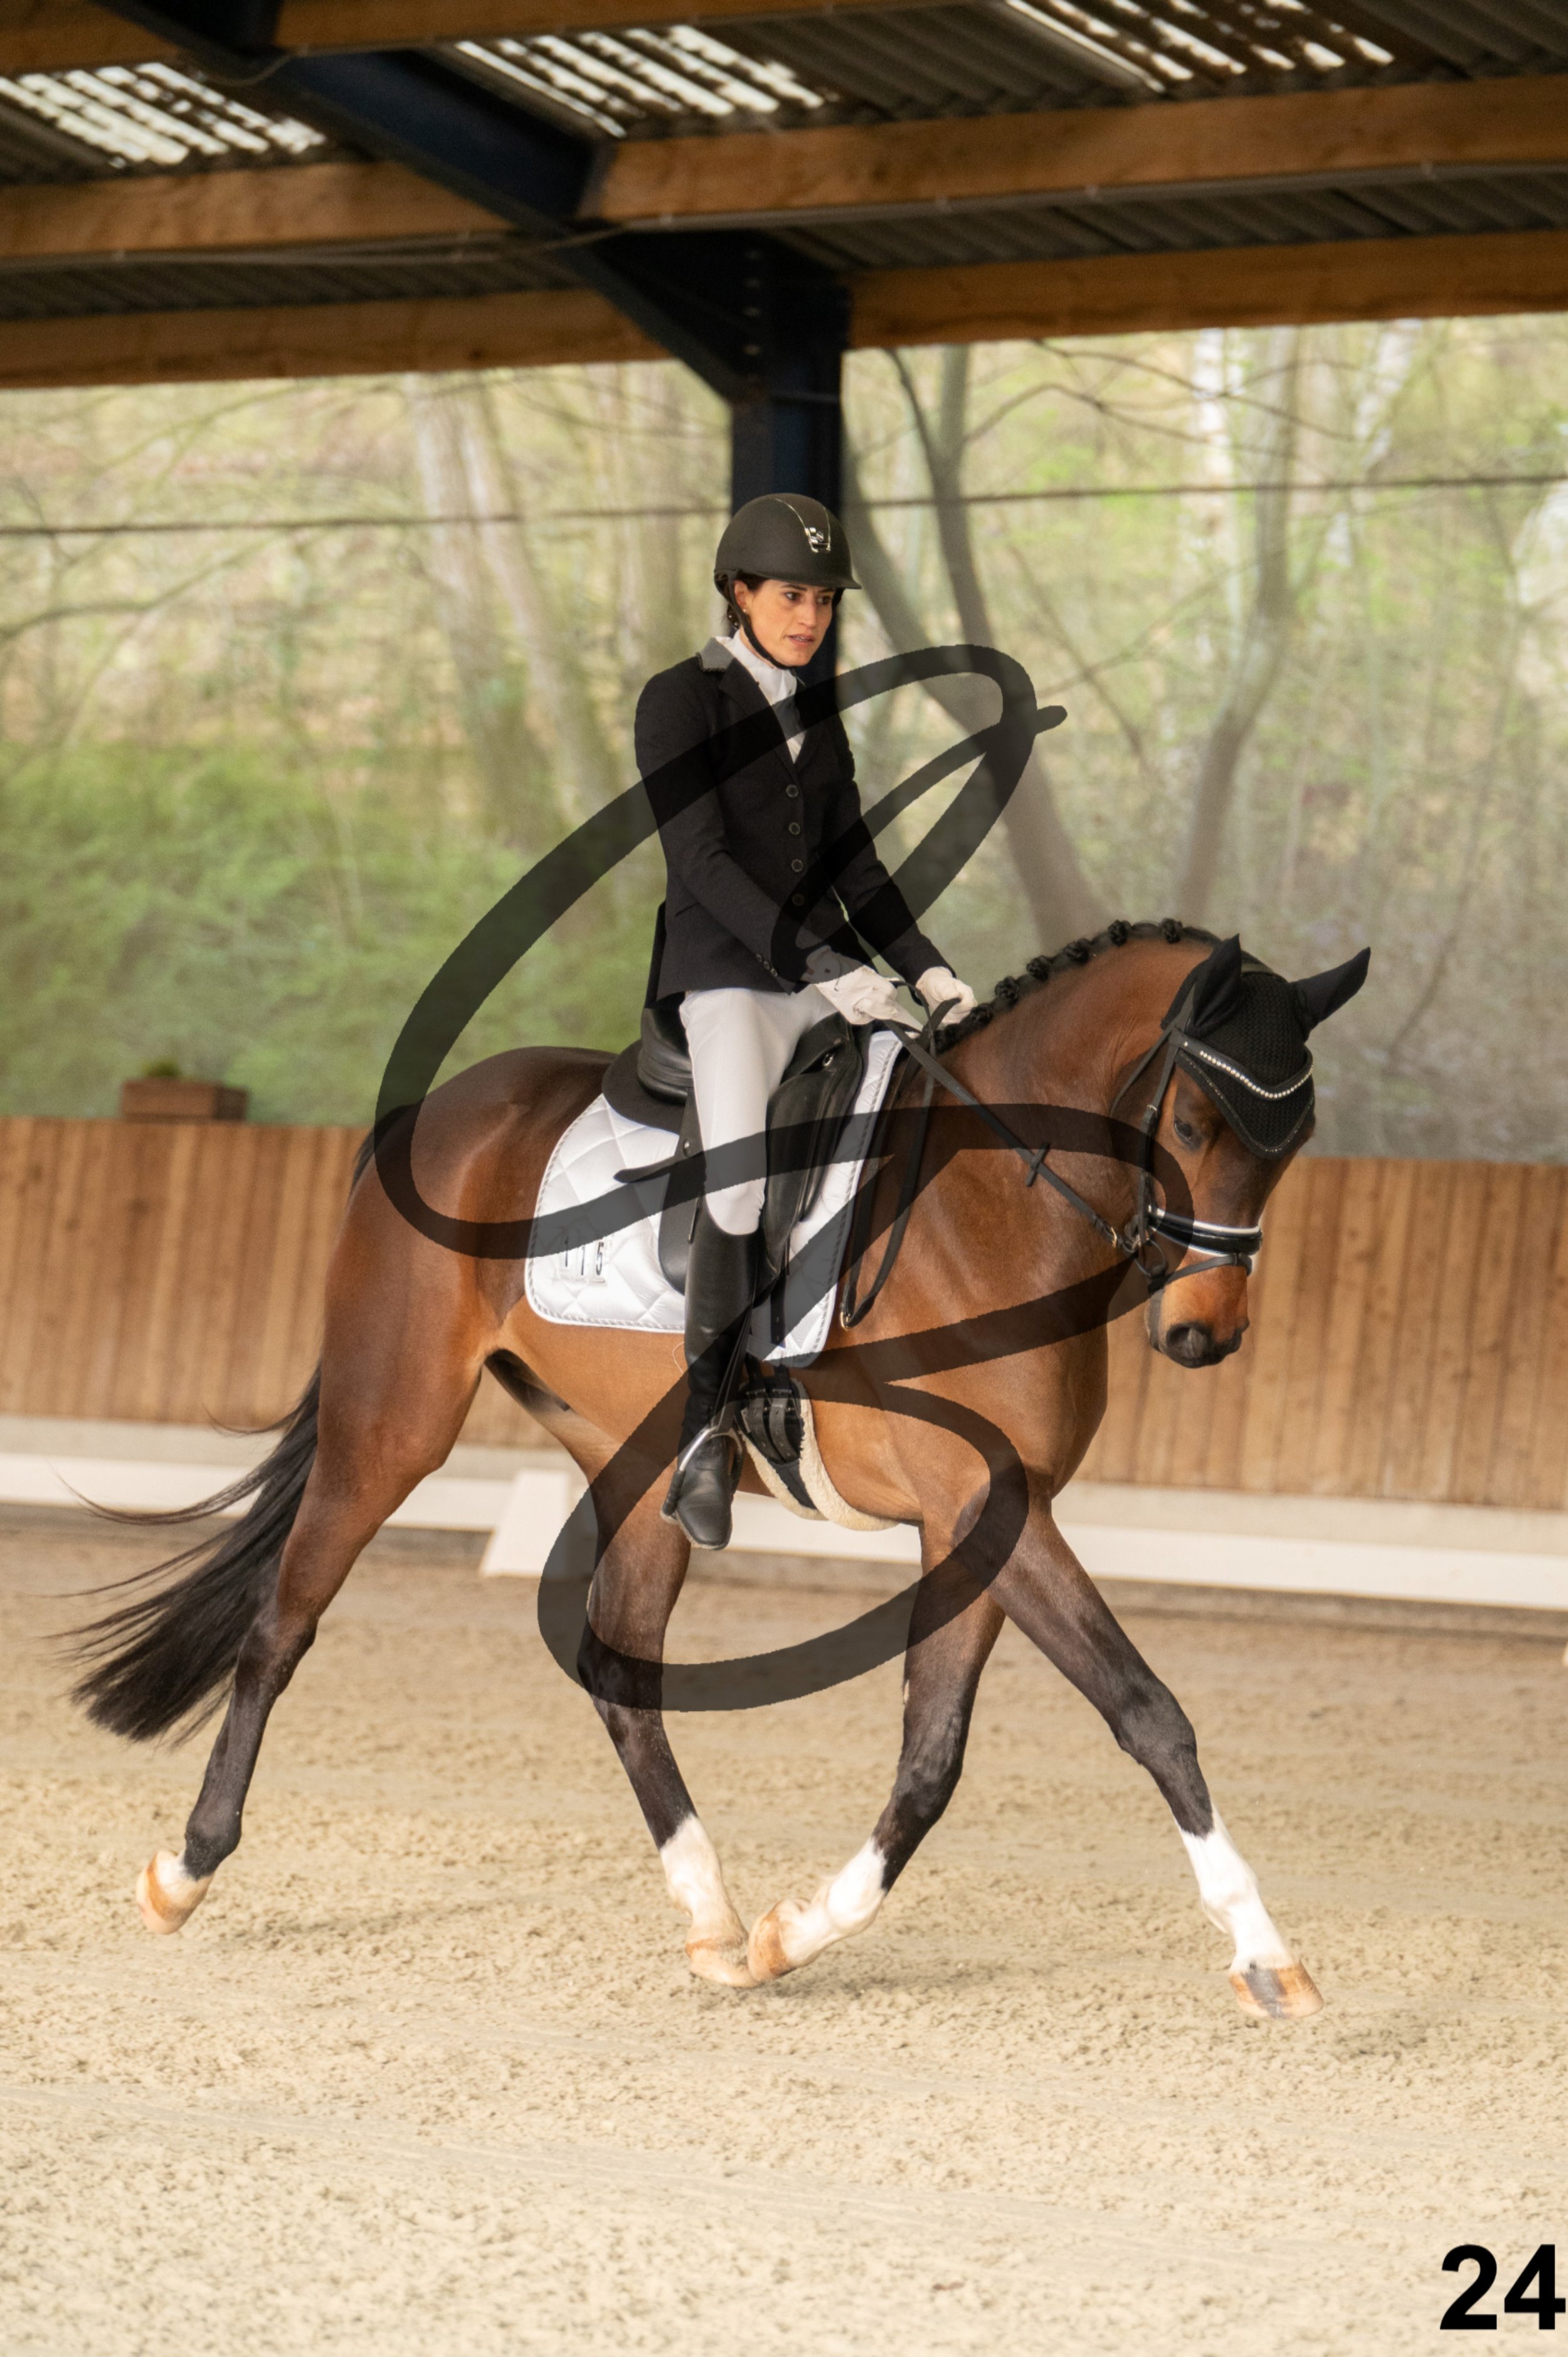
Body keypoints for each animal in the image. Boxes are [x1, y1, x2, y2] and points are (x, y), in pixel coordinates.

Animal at [72, 918, 1361, 2022]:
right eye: (1191, 1127)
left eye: (1292, 1143)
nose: (1203, 1333)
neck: (992, 1201)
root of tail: (440, 1109)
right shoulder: (987, 1504)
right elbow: (1147, 1710)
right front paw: (1267, 1956)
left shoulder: (983, 1518)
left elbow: (931, 1755)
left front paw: (796, 1934)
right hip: (390, 1425)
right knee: (282, 1626)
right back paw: (184, 1870)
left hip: (639, 1472)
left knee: (618, 1666)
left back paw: (716, 1918)